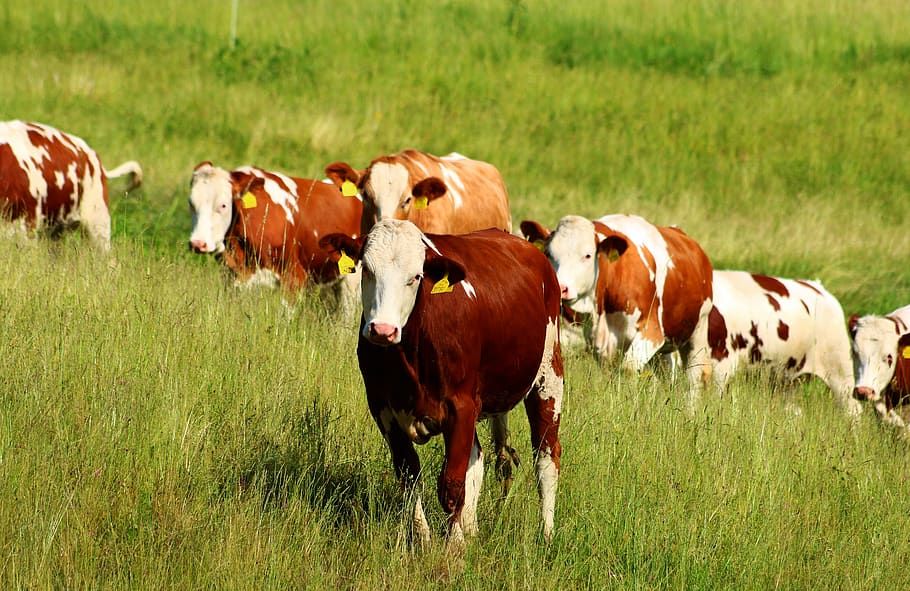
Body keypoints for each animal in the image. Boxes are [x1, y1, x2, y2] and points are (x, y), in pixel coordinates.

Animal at [188, 162, 362, 309]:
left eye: (223, 205)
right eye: (191, 203)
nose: (197, 243)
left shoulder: (293, 277)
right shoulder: (233, 279)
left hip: (352, 281)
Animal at [319, 219, 563, 548]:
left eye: (416, 277)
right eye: (367, 269)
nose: (382, 330)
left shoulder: (460, 408)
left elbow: (452, 484)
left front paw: (452, 550)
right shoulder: (384, 411)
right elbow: (410, 477)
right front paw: (424, 539)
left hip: (548, 377)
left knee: (546, 457)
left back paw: (546, 533)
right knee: (478, 459)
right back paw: (472, 529)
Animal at [521, 214, 713, 393]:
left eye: (587, 255)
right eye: (548, 253)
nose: (561, 287)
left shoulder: (651, 331)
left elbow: (628, 370)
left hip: (698, 331)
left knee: (695, 378)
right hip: (665, 349)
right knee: (667, 374)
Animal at [699, 270, 860, 414]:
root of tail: (818, 287)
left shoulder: (722, 363)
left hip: (839, 367)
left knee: (851, 408)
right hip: (788, 379)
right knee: (792, 409)